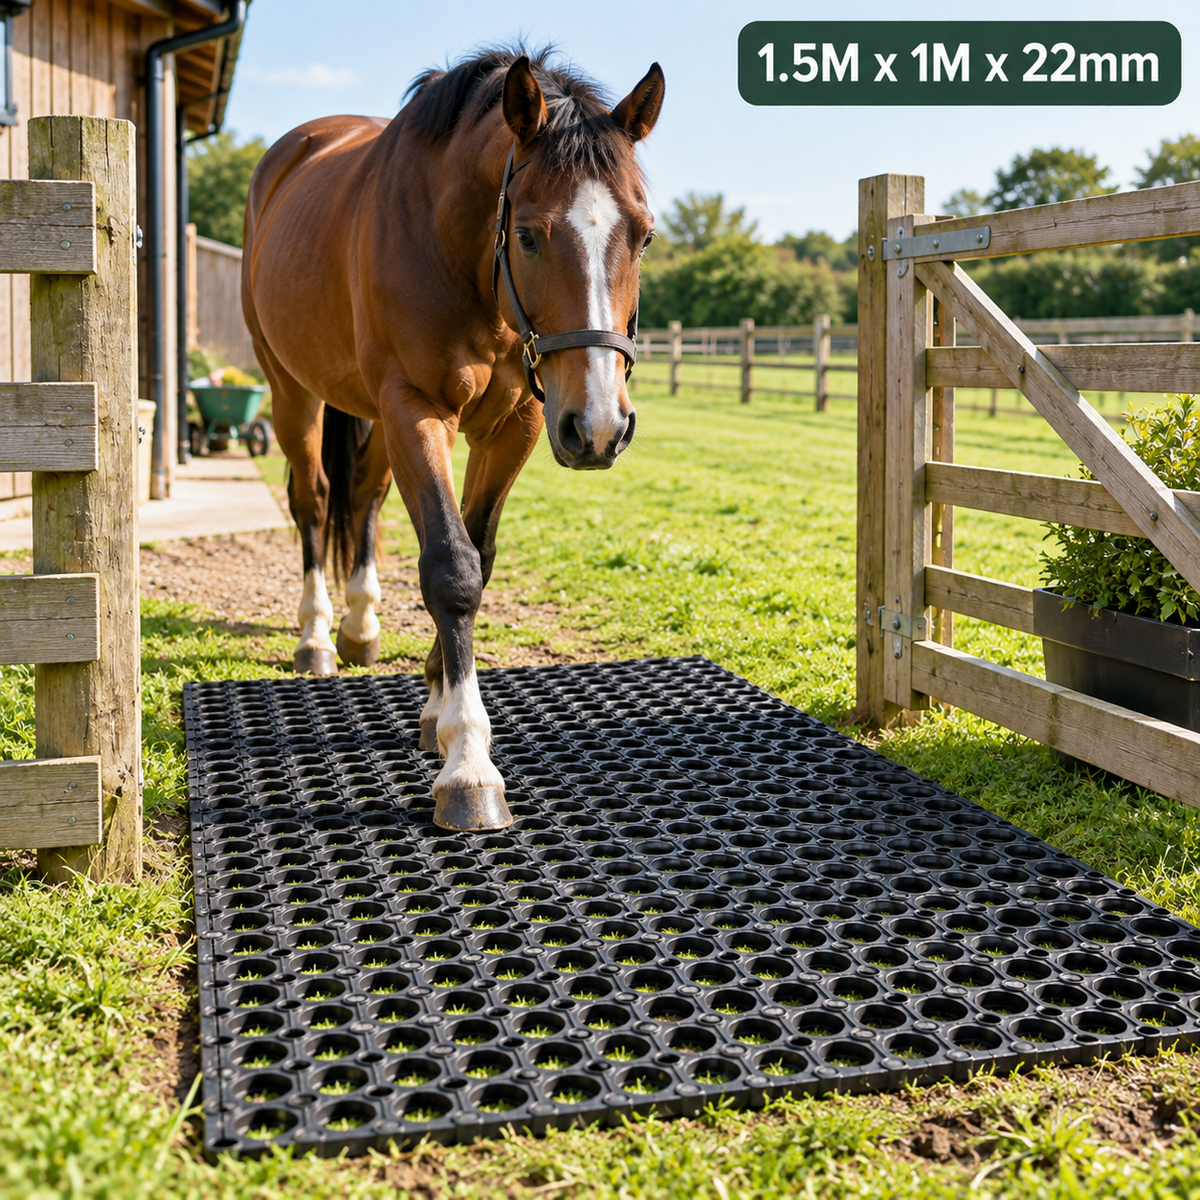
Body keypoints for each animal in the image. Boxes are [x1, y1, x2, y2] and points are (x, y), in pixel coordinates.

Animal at [241, 49, 664, 833]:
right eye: (528, 234)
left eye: (643, 234)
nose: (598, 426)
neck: (458, 250)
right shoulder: (414, 408)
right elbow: (451, 566)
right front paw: (468, 763)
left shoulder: (516, 423)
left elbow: (477, 552)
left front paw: (437, 707)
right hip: (292, 391)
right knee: (312, 501)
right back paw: (317, 636)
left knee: (365, 498)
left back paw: (359, 622)